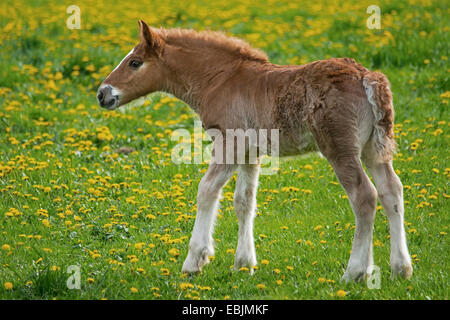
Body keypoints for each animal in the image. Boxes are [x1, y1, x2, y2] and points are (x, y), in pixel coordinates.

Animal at [97, 20, 412, 282]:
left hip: (341, 149)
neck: (219, 79)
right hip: (373, 149)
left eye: (135, 62)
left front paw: (194, 261)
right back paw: (400, 269)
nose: (102, 94)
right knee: (391, 191)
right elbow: (244, 201)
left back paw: (354, 272)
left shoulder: (229, 143)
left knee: (364, 196)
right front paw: (244, 264)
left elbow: (206, 190)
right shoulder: (251, 152)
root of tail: (367, 77)